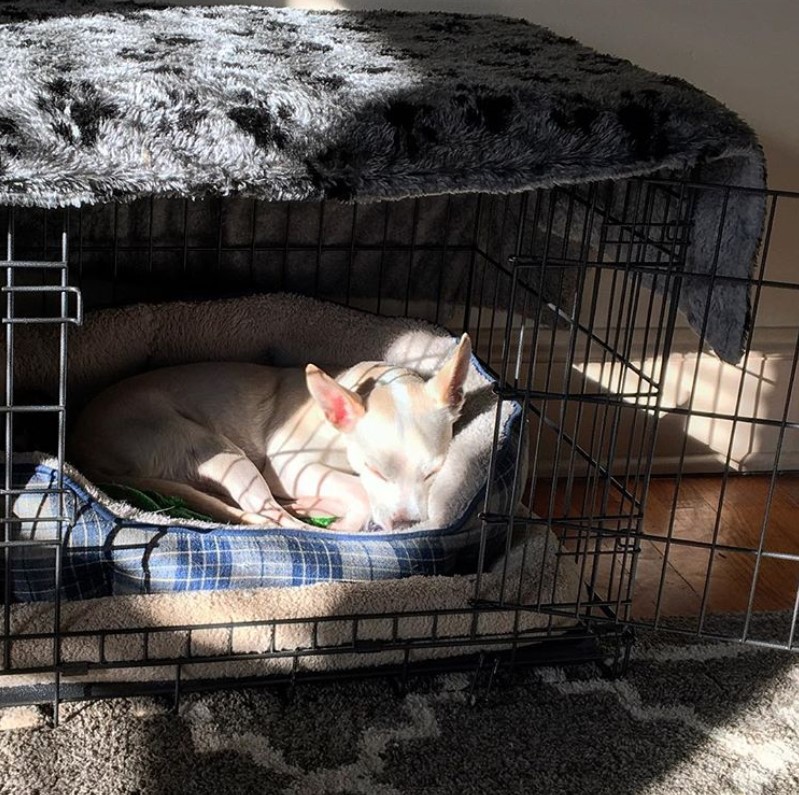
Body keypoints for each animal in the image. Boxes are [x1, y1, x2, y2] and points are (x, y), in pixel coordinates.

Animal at [70, 332, 476, 532]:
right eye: (375, 470)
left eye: (434, 472)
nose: (406, 524)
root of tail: (83, 449)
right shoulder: (290, 466)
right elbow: (360, 494)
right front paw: (347, 516)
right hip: (219, 452)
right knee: (271, 517)